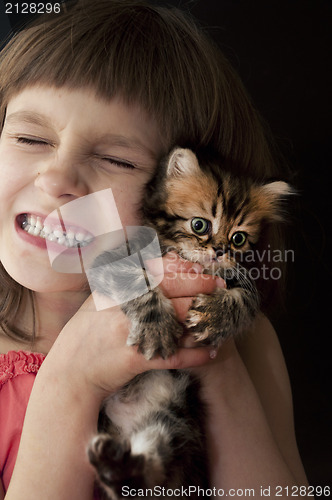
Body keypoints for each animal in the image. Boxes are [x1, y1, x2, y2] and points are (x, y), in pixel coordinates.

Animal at [87, 146, 292, 498]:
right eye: (200, 225)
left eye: (238, 239)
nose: (219, 250)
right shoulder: (111, 259)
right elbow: (139, 281)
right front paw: (156, 328)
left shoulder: (241, 280)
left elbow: (244, 298)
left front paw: (216, 317)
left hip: (175, 416)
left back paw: (120, 468)